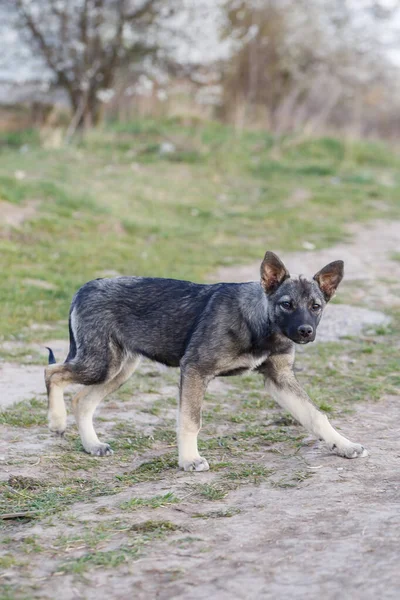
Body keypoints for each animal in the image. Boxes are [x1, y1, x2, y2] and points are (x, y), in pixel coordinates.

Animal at [45, 251, 368, 472]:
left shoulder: (279, 379)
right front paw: (189, 460)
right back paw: (57, 421)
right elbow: (191, 421)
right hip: (100, 363)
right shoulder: (195, 370)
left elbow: (315, 415)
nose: (305, 331)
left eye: (316, 306)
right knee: (52, 372)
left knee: (82, 400)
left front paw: (344, 444)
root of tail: (85, 288)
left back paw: (92, 445)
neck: (259, 324)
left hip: (119, 370)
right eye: (286, 304)